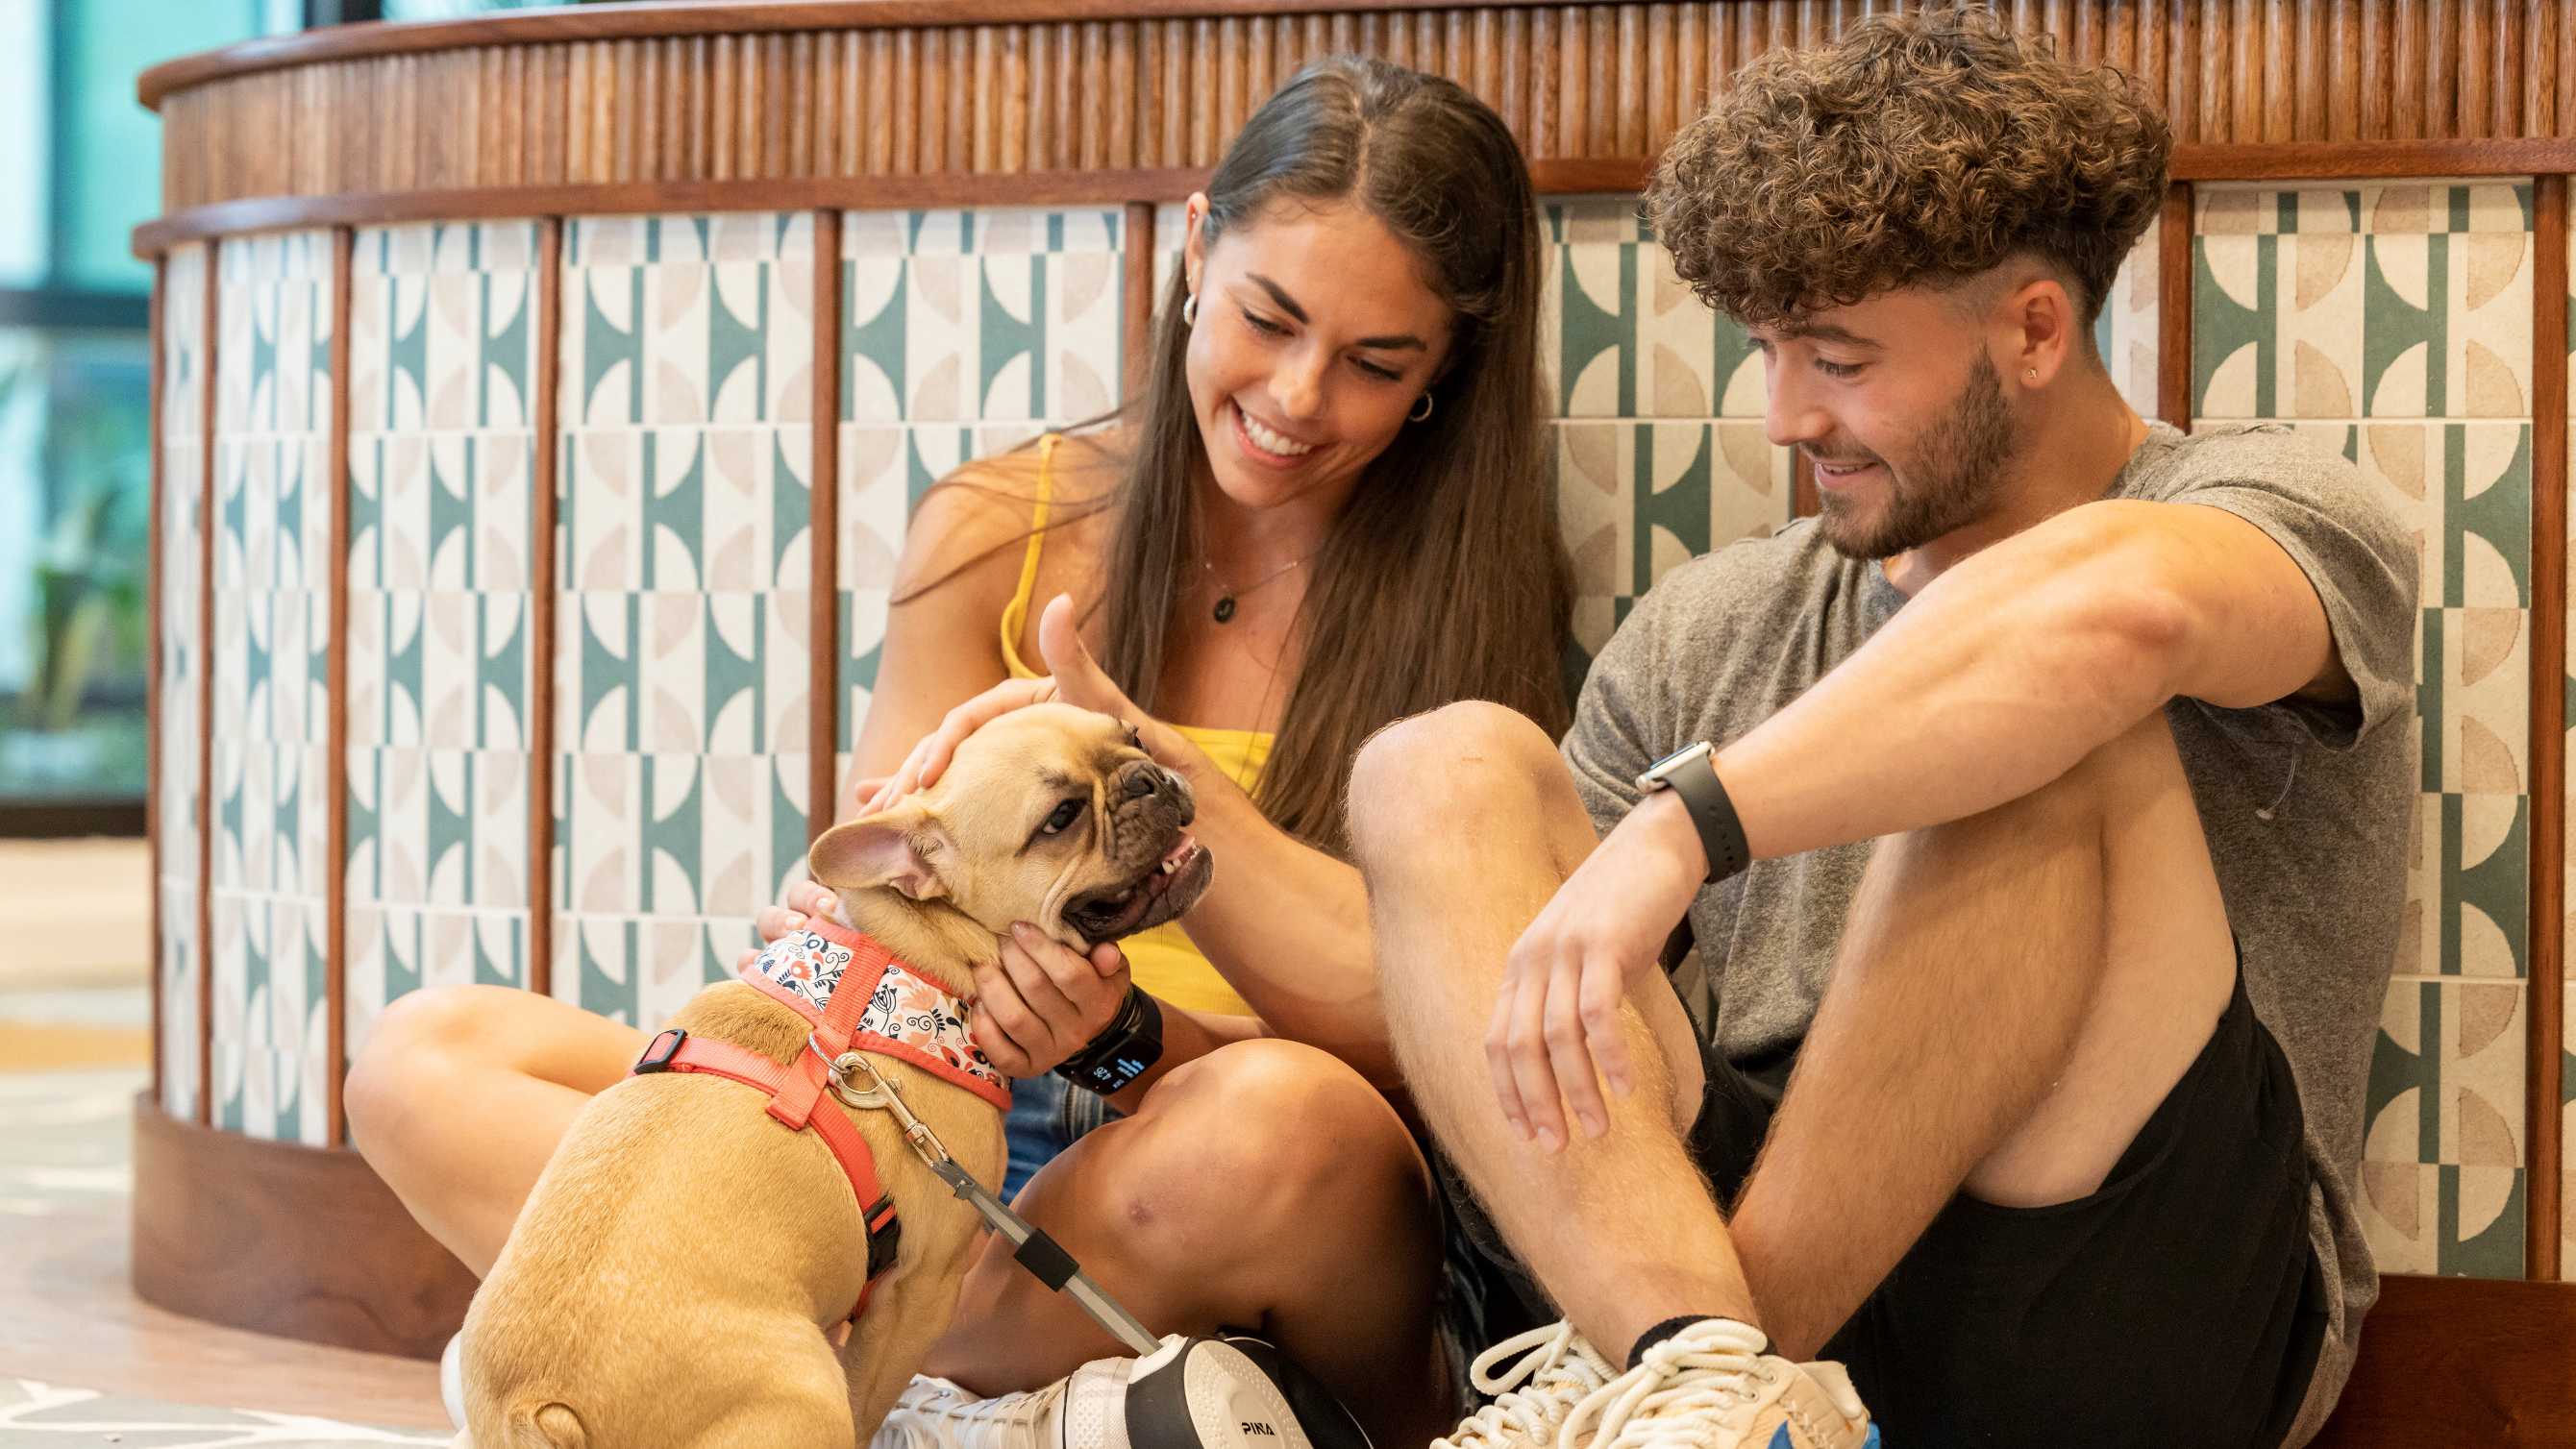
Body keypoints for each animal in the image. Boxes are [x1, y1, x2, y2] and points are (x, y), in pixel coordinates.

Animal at [456, 700, 1215, 1440]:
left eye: (1134, 734)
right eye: (1061, 818)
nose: (1150, 776)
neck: (902, 951)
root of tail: (542, 1403)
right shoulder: (920, 1290)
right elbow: (870, 1396)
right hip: (803, 1386)